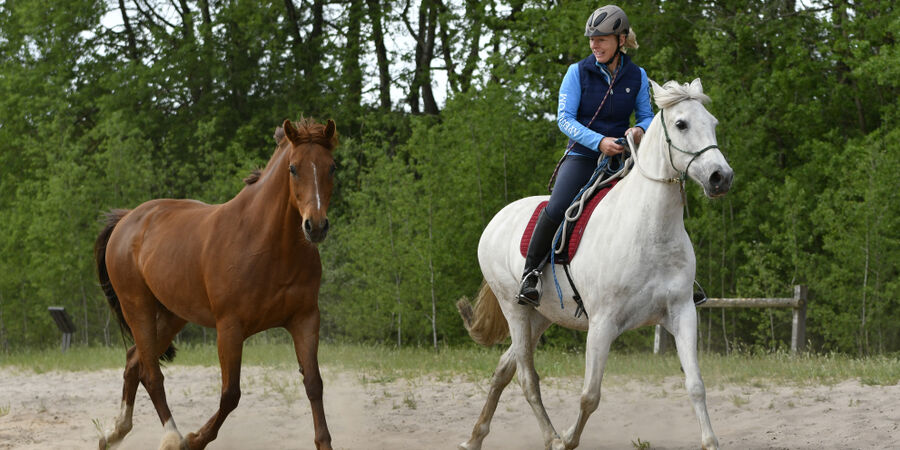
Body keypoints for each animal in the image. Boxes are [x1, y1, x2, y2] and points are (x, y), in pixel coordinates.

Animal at [95, 118, 340, 448]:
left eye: (331, 167)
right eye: (293, 168)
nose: (315, 226)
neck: (269, 244)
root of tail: (126, 219)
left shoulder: (305, 320)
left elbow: (314, 384)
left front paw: (324, 442)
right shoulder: (230, 328)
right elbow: (230, 395)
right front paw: (195, 439)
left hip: (173, 314)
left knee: (134, 360)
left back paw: (115, 432)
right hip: (138, 307)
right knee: (151, 374)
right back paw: (172, 437)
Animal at [458, 79, 732, 448]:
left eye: (713, 123)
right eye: (681, 124)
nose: (721, 177)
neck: (650, 232)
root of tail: (497, 221)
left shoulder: (683, 313)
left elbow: (696, 385)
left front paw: (710, 441)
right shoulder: (603, 325)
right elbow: (590, 395)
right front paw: (567, 440)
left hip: (540, 317)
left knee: (504, 368)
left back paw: (475, 437)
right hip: (515, 309)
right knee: (528, 380)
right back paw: (551, 437)